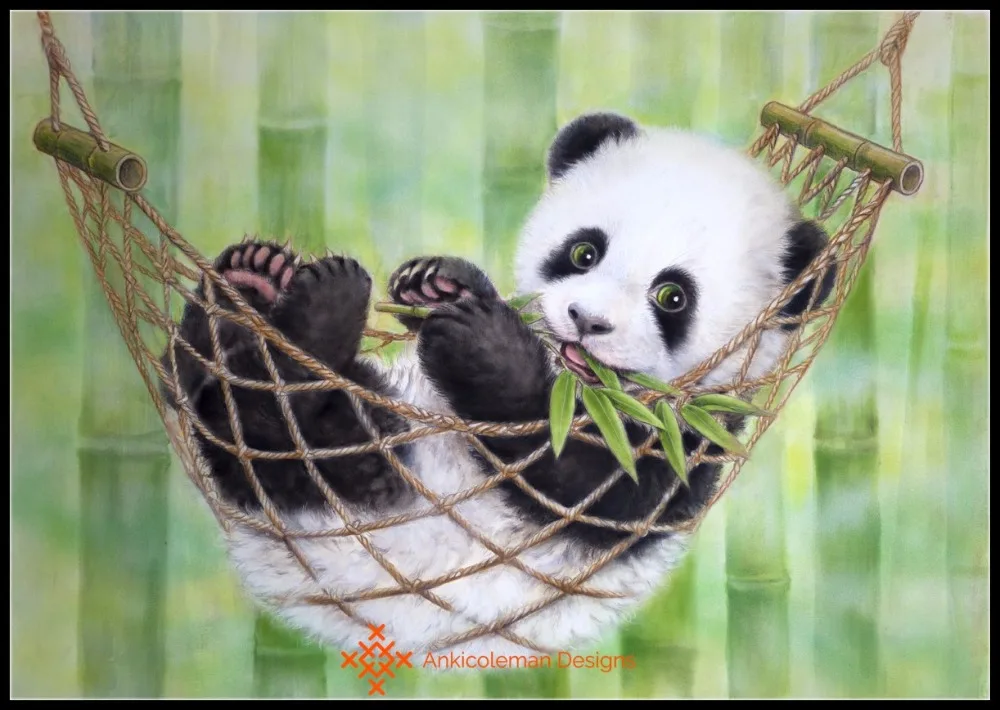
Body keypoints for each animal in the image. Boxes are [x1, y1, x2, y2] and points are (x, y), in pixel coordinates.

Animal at [161, 112, 832, 658]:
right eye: (584, 252)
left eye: (672, 297)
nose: (586, 321)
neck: (578, 386)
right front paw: (440, 283)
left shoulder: (683, 444)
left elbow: (575, 481)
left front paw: (481, 344)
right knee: (191, 385)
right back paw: (248, 284)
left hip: (364, 486)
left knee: (285, 430)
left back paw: (315, 317)